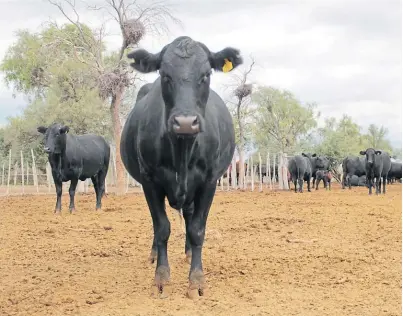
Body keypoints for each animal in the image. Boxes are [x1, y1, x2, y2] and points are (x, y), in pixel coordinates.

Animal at [120, 35, 243, 298]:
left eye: (206, 74)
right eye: (165, 74)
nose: (185, 122)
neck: (182, 151)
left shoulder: (209, 182)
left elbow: (197, 229)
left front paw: (196, 280)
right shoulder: (149, 181)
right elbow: (161, 228)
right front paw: (161, 277)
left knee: (189, 216)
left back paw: (187, 254)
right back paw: (154, 254)